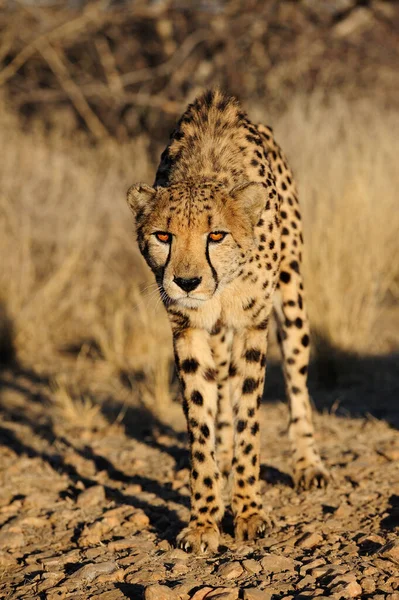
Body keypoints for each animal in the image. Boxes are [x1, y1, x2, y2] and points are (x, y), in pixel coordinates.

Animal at [126, 89, 330, 552]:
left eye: (215, 235)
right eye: (163, 236)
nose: (186, 282)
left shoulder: (252, 325)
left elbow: (249, 421)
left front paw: (249, 511)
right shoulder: (187, 330)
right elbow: (201, 423)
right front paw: (204, 519)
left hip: (291, 299)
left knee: (296, 384)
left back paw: (307, 463)